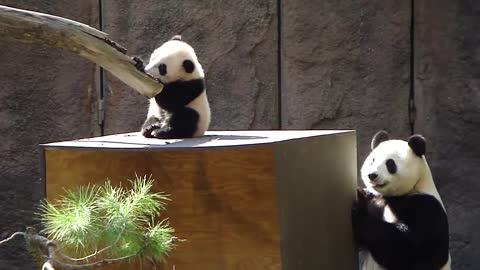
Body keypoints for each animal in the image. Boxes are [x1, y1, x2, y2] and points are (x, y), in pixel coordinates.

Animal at [350, 130, 452, 268]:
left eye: (390, 163)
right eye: (372, 160)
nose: (372, 175)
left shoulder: (426, 206)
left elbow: (411, 250)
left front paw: (359, 213)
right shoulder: (377, 200)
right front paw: (361, 195)